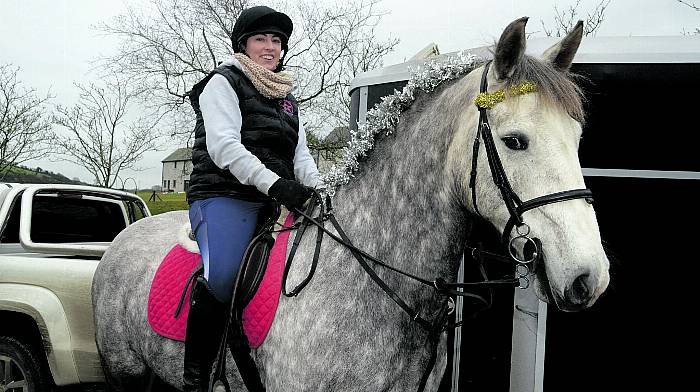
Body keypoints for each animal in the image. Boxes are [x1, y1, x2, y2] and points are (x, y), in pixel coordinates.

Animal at [91, 18, 608, 392]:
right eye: (515, 140)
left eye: (577, 137)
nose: (589, 277)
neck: (374, 283)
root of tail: (123, 238)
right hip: (125, 372)